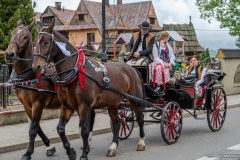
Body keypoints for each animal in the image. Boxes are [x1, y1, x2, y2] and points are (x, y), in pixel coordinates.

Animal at [4, 19, 95, 159]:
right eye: (12, 34)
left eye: (25, 37)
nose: (9, 53)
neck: (30, 74)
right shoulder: (26, 105)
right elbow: (37, 128)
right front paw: (49, 146)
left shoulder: (38, 104)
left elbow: (33, 129)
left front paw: (28, 153)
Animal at [32, 19, 146, 159]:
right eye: (35, 42)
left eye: (46, 42)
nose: (36, 67)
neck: (76, 71)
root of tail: (133, 69)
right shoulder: (67, 106)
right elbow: (60, 129)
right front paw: (70, 151)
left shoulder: (84, 106)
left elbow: (85, 131)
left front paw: (84, 153)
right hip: (113, 103)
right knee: (116, 123)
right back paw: (113, 146)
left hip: (134, 99)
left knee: (140, 118)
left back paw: (141, 142)